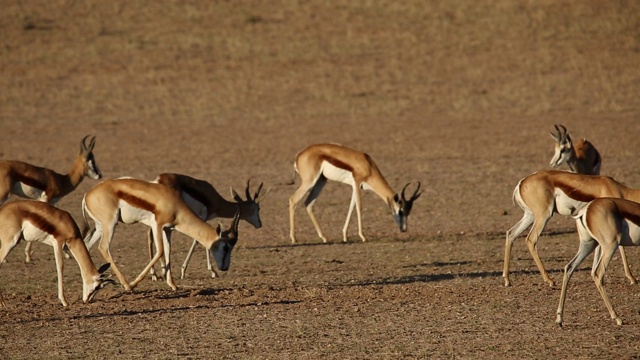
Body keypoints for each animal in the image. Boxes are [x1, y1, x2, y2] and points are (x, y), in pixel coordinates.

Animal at [82, 178, 242, 292]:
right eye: (226, 247)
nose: (225, 267)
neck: (175, 205)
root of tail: (87, 195)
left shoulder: (168, 230)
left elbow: (167, 251)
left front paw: (173, 284)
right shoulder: (157, 226)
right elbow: (159, 252)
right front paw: (134, 284)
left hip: (100, 227)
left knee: (87, 246)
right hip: (110, 224)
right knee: (103, 247)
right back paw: (126, 285)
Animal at [288, 143, 420, 245]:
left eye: (408, 212)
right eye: (401, 211)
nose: (404, 229)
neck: (368, 165)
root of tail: (299, 155)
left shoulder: (354, 186)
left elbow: (351, 207)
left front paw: (345, 236)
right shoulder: (357, 183)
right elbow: (359, 207)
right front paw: (363, 236)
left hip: (321, 180)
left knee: (308, 203)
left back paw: (324, 237)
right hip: (309, 181)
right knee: (293, 199)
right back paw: (294, 239)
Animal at [504, 169, 640, 286]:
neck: (620, 190)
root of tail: (521, 183)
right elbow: (621, 247)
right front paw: (632, 278)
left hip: (530, 216)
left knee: (511, 233)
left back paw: (507, 280)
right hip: (544, 215)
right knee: (531, 239)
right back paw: (549, 280)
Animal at [552, 197, 640, 326]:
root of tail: (587, 209)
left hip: (589, 244)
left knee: (570, 267)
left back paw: (559, 318)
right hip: (610, 246)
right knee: (598, 273)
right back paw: (616, 317)